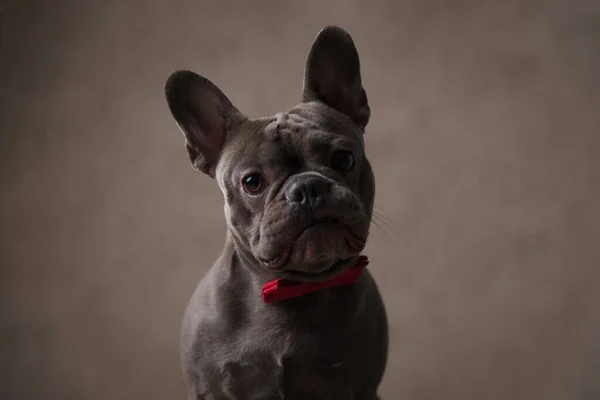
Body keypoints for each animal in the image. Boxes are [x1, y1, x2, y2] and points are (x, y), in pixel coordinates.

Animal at [164, 25, 390, 400]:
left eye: (343, 159)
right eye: (252, 182)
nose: (307, 188)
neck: (292, 289)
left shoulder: (361, 387)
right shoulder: (209, 390)